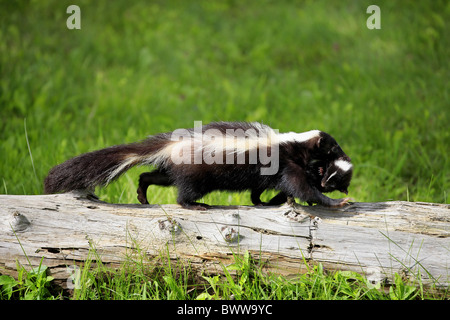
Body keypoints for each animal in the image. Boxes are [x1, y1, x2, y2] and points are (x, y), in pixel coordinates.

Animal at [46, 121, 356, 209]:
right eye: (333, 146)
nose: (344, 151)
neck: (293, 143)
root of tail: (171, 144)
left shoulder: (270, 170)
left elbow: (261, 190)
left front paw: (263, 203)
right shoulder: (282, 161)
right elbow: (299, 187)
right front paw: (335, 203)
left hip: (174, 169)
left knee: (151, 176)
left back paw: (143, 196)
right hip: (197, 174)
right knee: (184, 194)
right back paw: (195, 206)